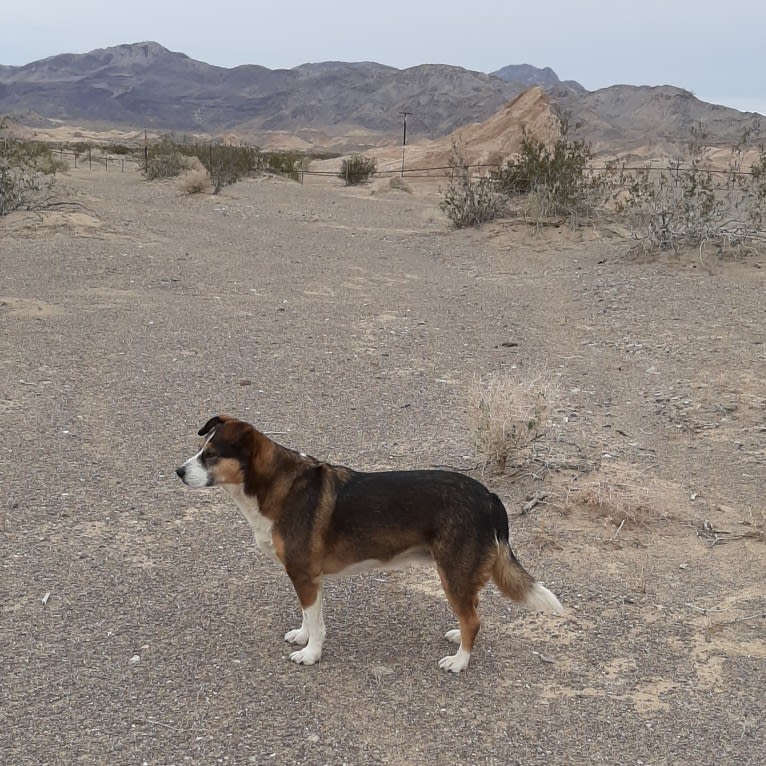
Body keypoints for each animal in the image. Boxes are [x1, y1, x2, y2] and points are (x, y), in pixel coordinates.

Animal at [178, 416, 564, 676]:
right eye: (200, 450)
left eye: (210, 455)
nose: (178, 472)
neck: (275, 485)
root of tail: (489, 497)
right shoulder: (304, 578)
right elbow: (308, 615)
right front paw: (303, 636)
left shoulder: (305, 575)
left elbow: (315, 621)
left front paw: (312, 653)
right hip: (461, 573)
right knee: (473, 611)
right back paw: (458, 637)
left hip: (452, 572)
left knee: (474, 619)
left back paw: (460, 661)